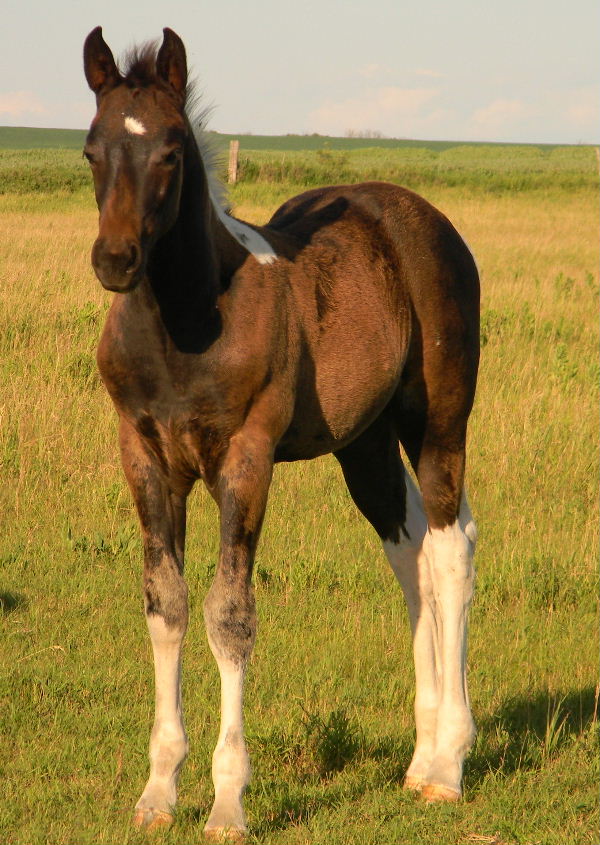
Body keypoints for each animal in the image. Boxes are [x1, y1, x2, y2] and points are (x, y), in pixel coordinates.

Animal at [83, 26, 480, 840]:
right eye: (90, 150)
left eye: (171, 150)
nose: (115, 260)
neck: (186, 323)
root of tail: (425, 220)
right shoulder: (144, 454)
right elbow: (165, 604)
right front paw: (158, 791)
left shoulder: (246, 457)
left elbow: (230, 614)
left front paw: (228, 801)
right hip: (364, 442)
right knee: (411, 552)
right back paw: (420, 760)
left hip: (438, 421)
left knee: (452, 548)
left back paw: (450, 765)